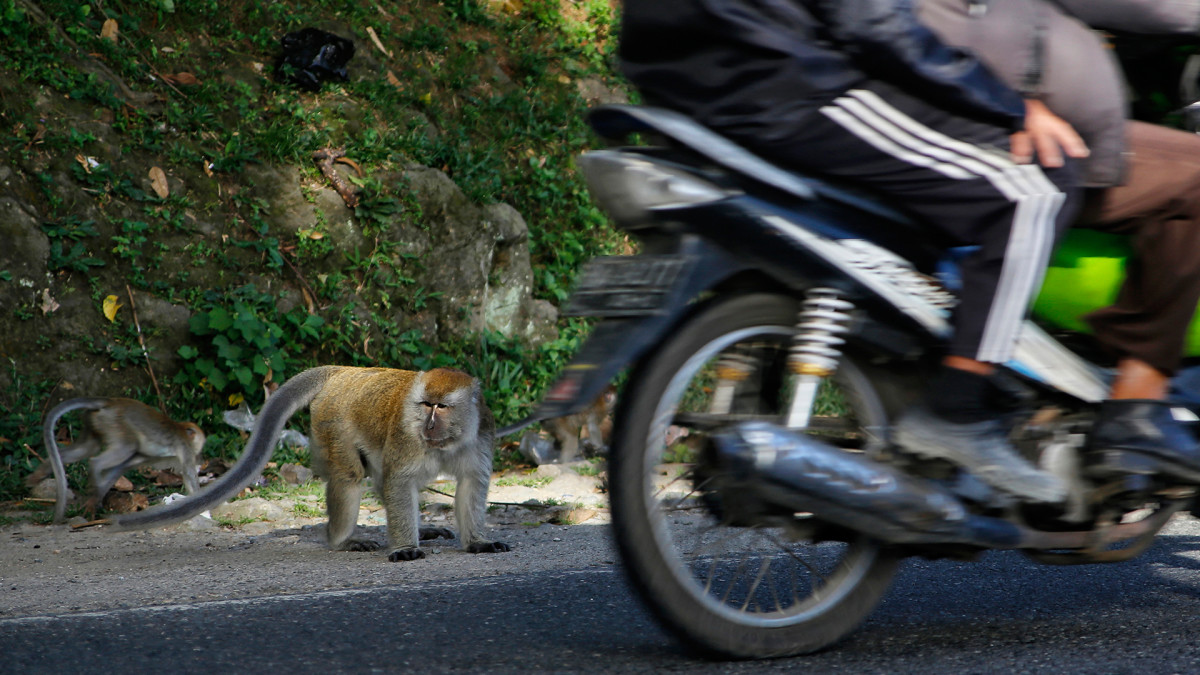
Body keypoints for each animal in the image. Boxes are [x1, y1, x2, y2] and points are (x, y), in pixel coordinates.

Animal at [29, 396, 206, 523]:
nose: (200, 455)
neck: (182, 430)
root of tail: (110, 402)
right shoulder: (185, 447)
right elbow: (189, 473)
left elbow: (122, 467)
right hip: (114, 423)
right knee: (124, 447)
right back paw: (94, 470)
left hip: (94, 421)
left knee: (89, 448)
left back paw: (43, 471)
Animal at [108, 365, 511, 559]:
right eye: (426, 405)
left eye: (441, 407)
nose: (427, 424)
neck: (446, 440)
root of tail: (344, 371)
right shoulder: (406, 439)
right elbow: (400, 483)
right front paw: (404, 548)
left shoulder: (482, 433)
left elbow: (472, 485)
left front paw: (477, 541)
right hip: (333, 419)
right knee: (349, 475)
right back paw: (342, 540)